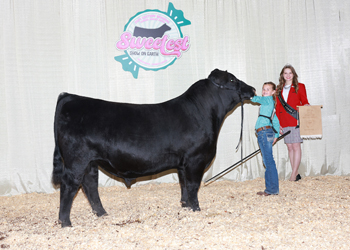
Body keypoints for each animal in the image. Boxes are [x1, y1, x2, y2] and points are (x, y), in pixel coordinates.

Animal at [52, 68, 254, 227]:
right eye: (232, 80)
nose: (252, 89)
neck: (203, 113)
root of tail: (69, 96)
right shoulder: (195, 160)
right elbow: (193, 186)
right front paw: (196, 209)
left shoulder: (183, 164)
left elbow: (184, 184)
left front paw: (185, 206)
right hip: (76, 160)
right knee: (69, 186)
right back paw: (66, 222)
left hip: (90, 162)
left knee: (89, 185)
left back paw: (101, 213)